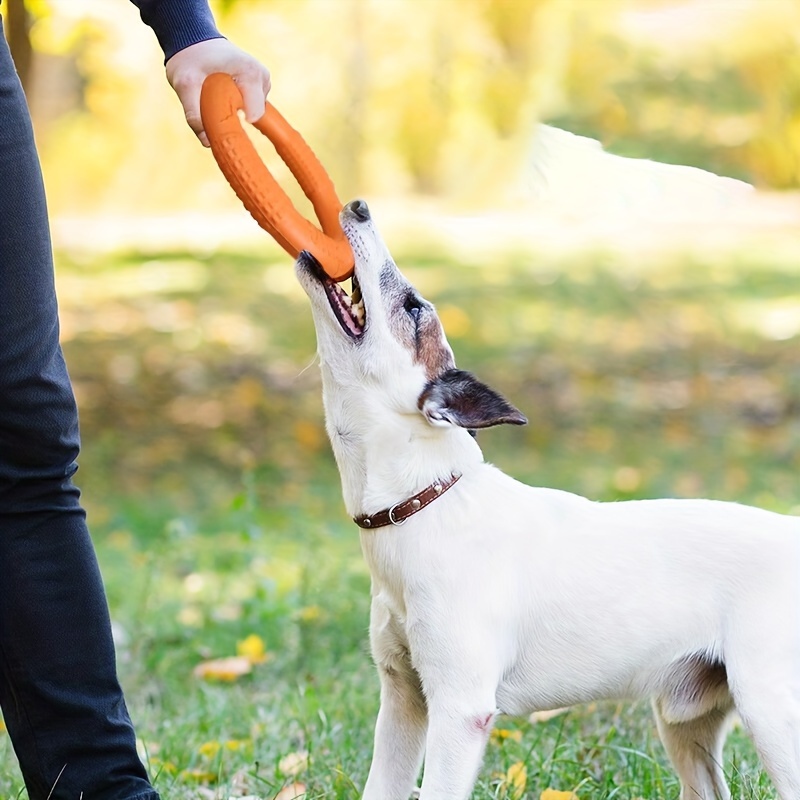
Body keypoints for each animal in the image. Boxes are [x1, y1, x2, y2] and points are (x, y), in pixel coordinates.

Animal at [296, 200, 800, 800]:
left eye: (413, 307)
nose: (358, 207)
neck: (427, 504)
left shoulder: (458, 711)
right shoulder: (402, 701)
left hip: (771, 712)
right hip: (685, 724)